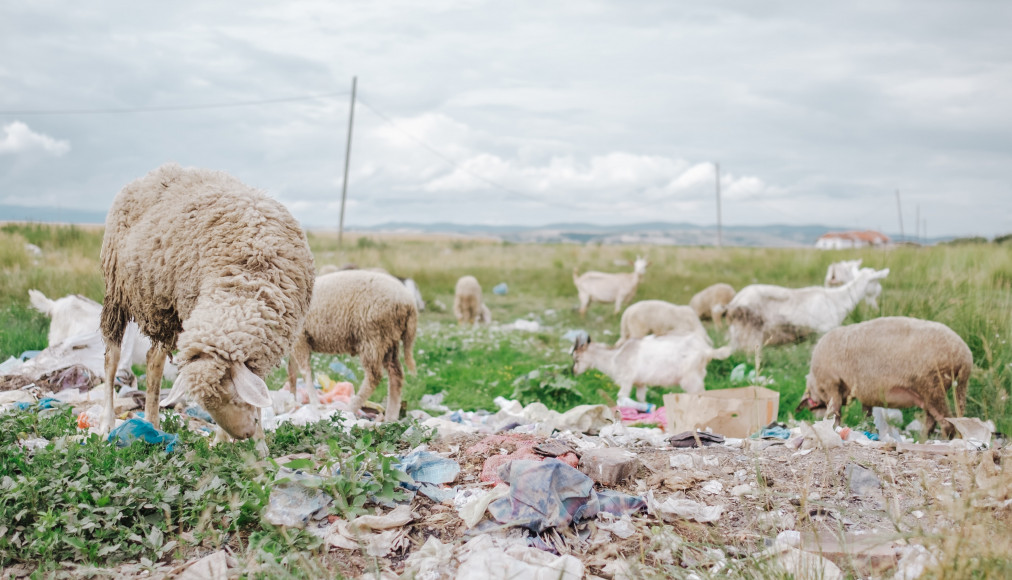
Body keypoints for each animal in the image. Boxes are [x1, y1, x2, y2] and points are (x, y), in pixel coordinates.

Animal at [99, 162, 313, 439]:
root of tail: (150, 175)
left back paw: (152, 423)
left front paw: (245, 441)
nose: (243, 434)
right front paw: (226, 441)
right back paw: (107, 423)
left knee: (153, 360)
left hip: (166, 310)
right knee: (111, 359)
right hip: (117, 292)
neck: (247, 280)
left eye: (234, 398)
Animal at [285, 269, 414, 423]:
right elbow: (292, 372)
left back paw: (350, 408)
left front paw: (315, 405)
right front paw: (292, 401)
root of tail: (409, 302)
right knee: (396, 374)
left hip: (373, 336)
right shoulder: (294, 343)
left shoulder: (301, 337)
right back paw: (391, 416)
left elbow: (305, 372)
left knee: (374, 376)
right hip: (389, 339)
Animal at [574, 329, 732, 402]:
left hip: (690, 378)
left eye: (576, 357)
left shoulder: (626, 380)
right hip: (698, 374)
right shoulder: (640, 383)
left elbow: (622, 397)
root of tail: (706, 350)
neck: (615, 356)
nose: (574, 371)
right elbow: (641, 399)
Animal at [724, 265, 890, 350]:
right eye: (876, 282)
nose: (879, 292)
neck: (837, 300)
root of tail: (736, 300)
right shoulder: (823, 330)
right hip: (747, 331)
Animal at [797, 319, 971, 437]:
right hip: (935, 390)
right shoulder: (865, 393)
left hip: (932, 384)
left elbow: (835, 412)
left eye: (811, 406)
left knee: (946, 422)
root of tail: (965, 356)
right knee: (933, 419)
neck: (816, 385)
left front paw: (829, 427)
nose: (815, 418)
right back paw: (923, 438)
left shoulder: (832, 386)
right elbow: (866, 414)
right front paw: (867, 428)